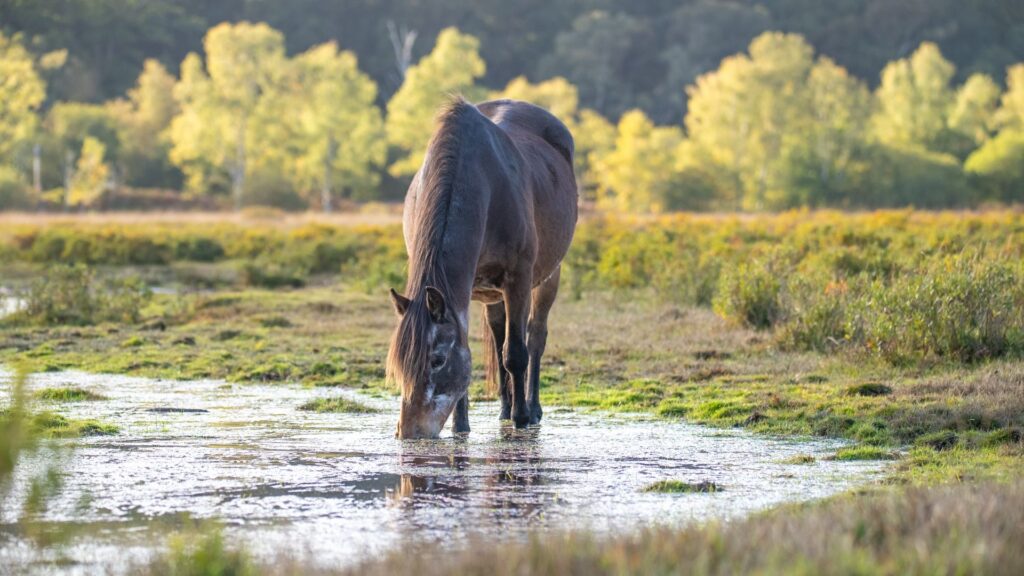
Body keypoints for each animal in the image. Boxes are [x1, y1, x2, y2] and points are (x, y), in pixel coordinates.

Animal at [386, 97, 578, 439]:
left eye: (437, 360)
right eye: (399, 364)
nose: (409, 432)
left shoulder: (518, 280)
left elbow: (516, 353)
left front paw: (521, 418)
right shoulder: (466, 289)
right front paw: (460, 426)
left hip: (548, 277)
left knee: (535, 337)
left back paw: (531, 408)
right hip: (491, 293)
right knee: (499, 332)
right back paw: (504, 407)